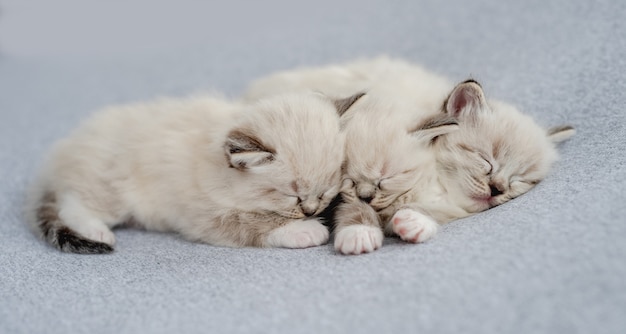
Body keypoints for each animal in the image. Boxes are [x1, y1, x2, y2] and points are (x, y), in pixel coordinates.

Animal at [25, 91, 360, 253]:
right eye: (292, 195)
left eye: (327, 190)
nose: (311, 210)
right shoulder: (201, 212)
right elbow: (250, 222)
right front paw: (304, 230)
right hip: (112, 187)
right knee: (72, 202)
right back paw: (96, 231)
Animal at [241, 58, 572, 256]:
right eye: (485, 159)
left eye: (521, 180)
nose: (497, 188)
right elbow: (355, 204)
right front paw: (360, 233)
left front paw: (414, 222)